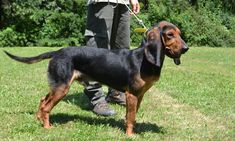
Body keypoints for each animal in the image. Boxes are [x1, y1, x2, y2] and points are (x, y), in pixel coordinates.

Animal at [4, 21, 189, 137]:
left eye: (180, 34)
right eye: (170, 35)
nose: (186, 48)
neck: (143, 59)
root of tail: (57, 52)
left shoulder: (139, 95)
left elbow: (132, 116)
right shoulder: (131, 95)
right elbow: (130, 118)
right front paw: (130, 135)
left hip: (58, 85)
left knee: (43, 100)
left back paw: (39, 119)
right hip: (62, 88)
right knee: (46, 106)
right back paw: (47, 126)